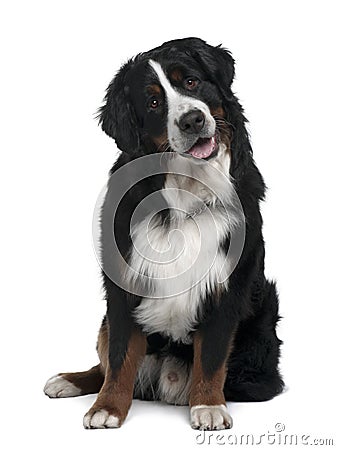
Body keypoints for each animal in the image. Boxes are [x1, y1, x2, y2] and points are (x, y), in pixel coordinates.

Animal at [43, 37, 282, 428]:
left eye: (191, 82)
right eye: (154, 102)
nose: (192, 120)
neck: (185, 194)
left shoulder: (226, 286)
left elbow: (212, 355)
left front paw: (208, 406)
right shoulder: (123, 280)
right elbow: (120, 356)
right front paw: (107, 407)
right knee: (104, 361)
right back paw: (70, 380)